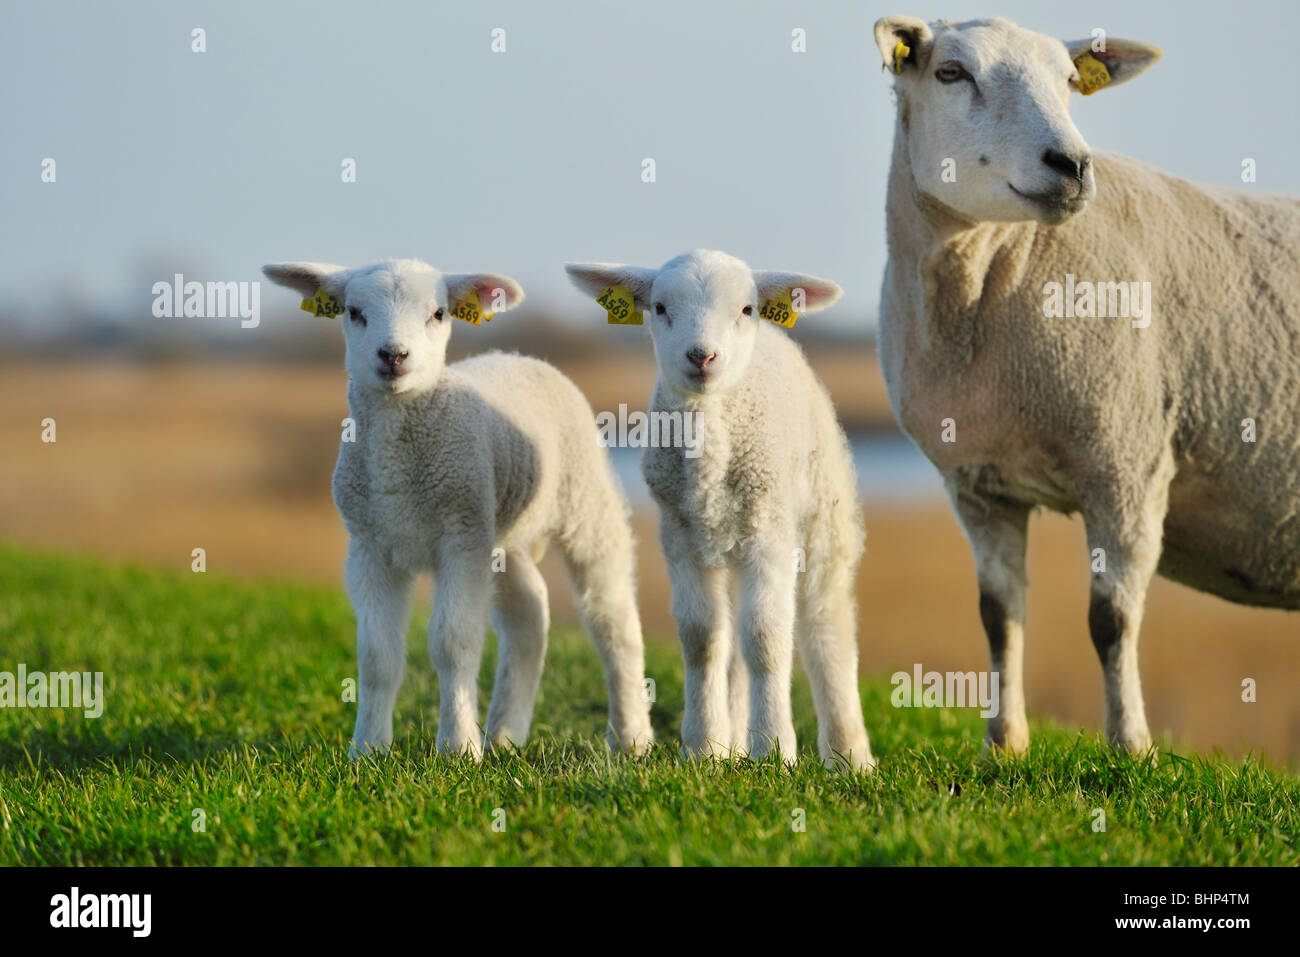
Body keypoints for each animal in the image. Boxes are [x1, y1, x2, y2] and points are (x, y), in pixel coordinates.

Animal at [262, 258, 654, 759]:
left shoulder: (460, 536)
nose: (393, 356)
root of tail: (520, 356)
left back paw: (631, 738)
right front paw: (367, 749)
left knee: (613, 620)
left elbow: (453, 642)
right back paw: (505, 734)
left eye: (438, 314)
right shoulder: (370, 546)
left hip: (585, 502)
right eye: (353, 312)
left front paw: (458, 748)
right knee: (529, 615)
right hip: (500, 530)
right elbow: (377, 655)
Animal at [565, 250, 875, 770]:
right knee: (732, 639)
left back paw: (848, 754)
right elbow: (703, 640)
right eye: (660, 307)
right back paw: (733, 742)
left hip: (821, 520)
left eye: (746, 309)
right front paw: (704, 747)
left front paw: (775, 750)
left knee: (825, 626)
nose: (702, 356)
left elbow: (766, 640)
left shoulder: (769, 531)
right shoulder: (681, 535)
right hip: (725, 545)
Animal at [872, 15, 1300, 755]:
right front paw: (1004, 742)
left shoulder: (1126, 461)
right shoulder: (978, 484)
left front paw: (1131, 745)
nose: (1072, 165)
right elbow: (998, 614)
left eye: (1072, 82)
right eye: (951, 73)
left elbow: (1111, 620)